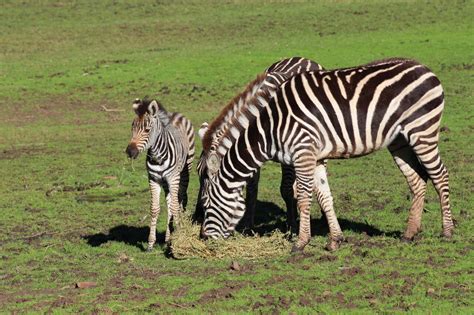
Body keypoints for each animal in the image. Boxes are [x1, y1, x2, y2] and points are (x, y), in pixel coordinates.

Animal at [125, 99, 195, 252]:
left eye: (147, 130)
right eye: (132, 128)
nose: (130, 152)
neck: (157, 156)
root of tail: (174, 114)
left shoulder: (173, 179)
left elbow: (175, 207)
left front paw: (178, 237)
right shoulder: (153, 179)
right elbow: (155, 208)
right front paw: (151, 243)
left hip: (185, 170)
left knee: (180, 200)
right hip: (165, 182)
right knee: (169, 203)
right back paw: (167, 239)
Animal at [194, 58, 324, 233]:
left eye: (208, 176)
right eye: (198, 172)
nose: (197, 216)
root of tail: (302, 58)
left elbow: (286, 189)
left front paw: (291, 226)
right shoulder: (248, 150)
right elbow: (251, 189)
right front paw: (248, 227)